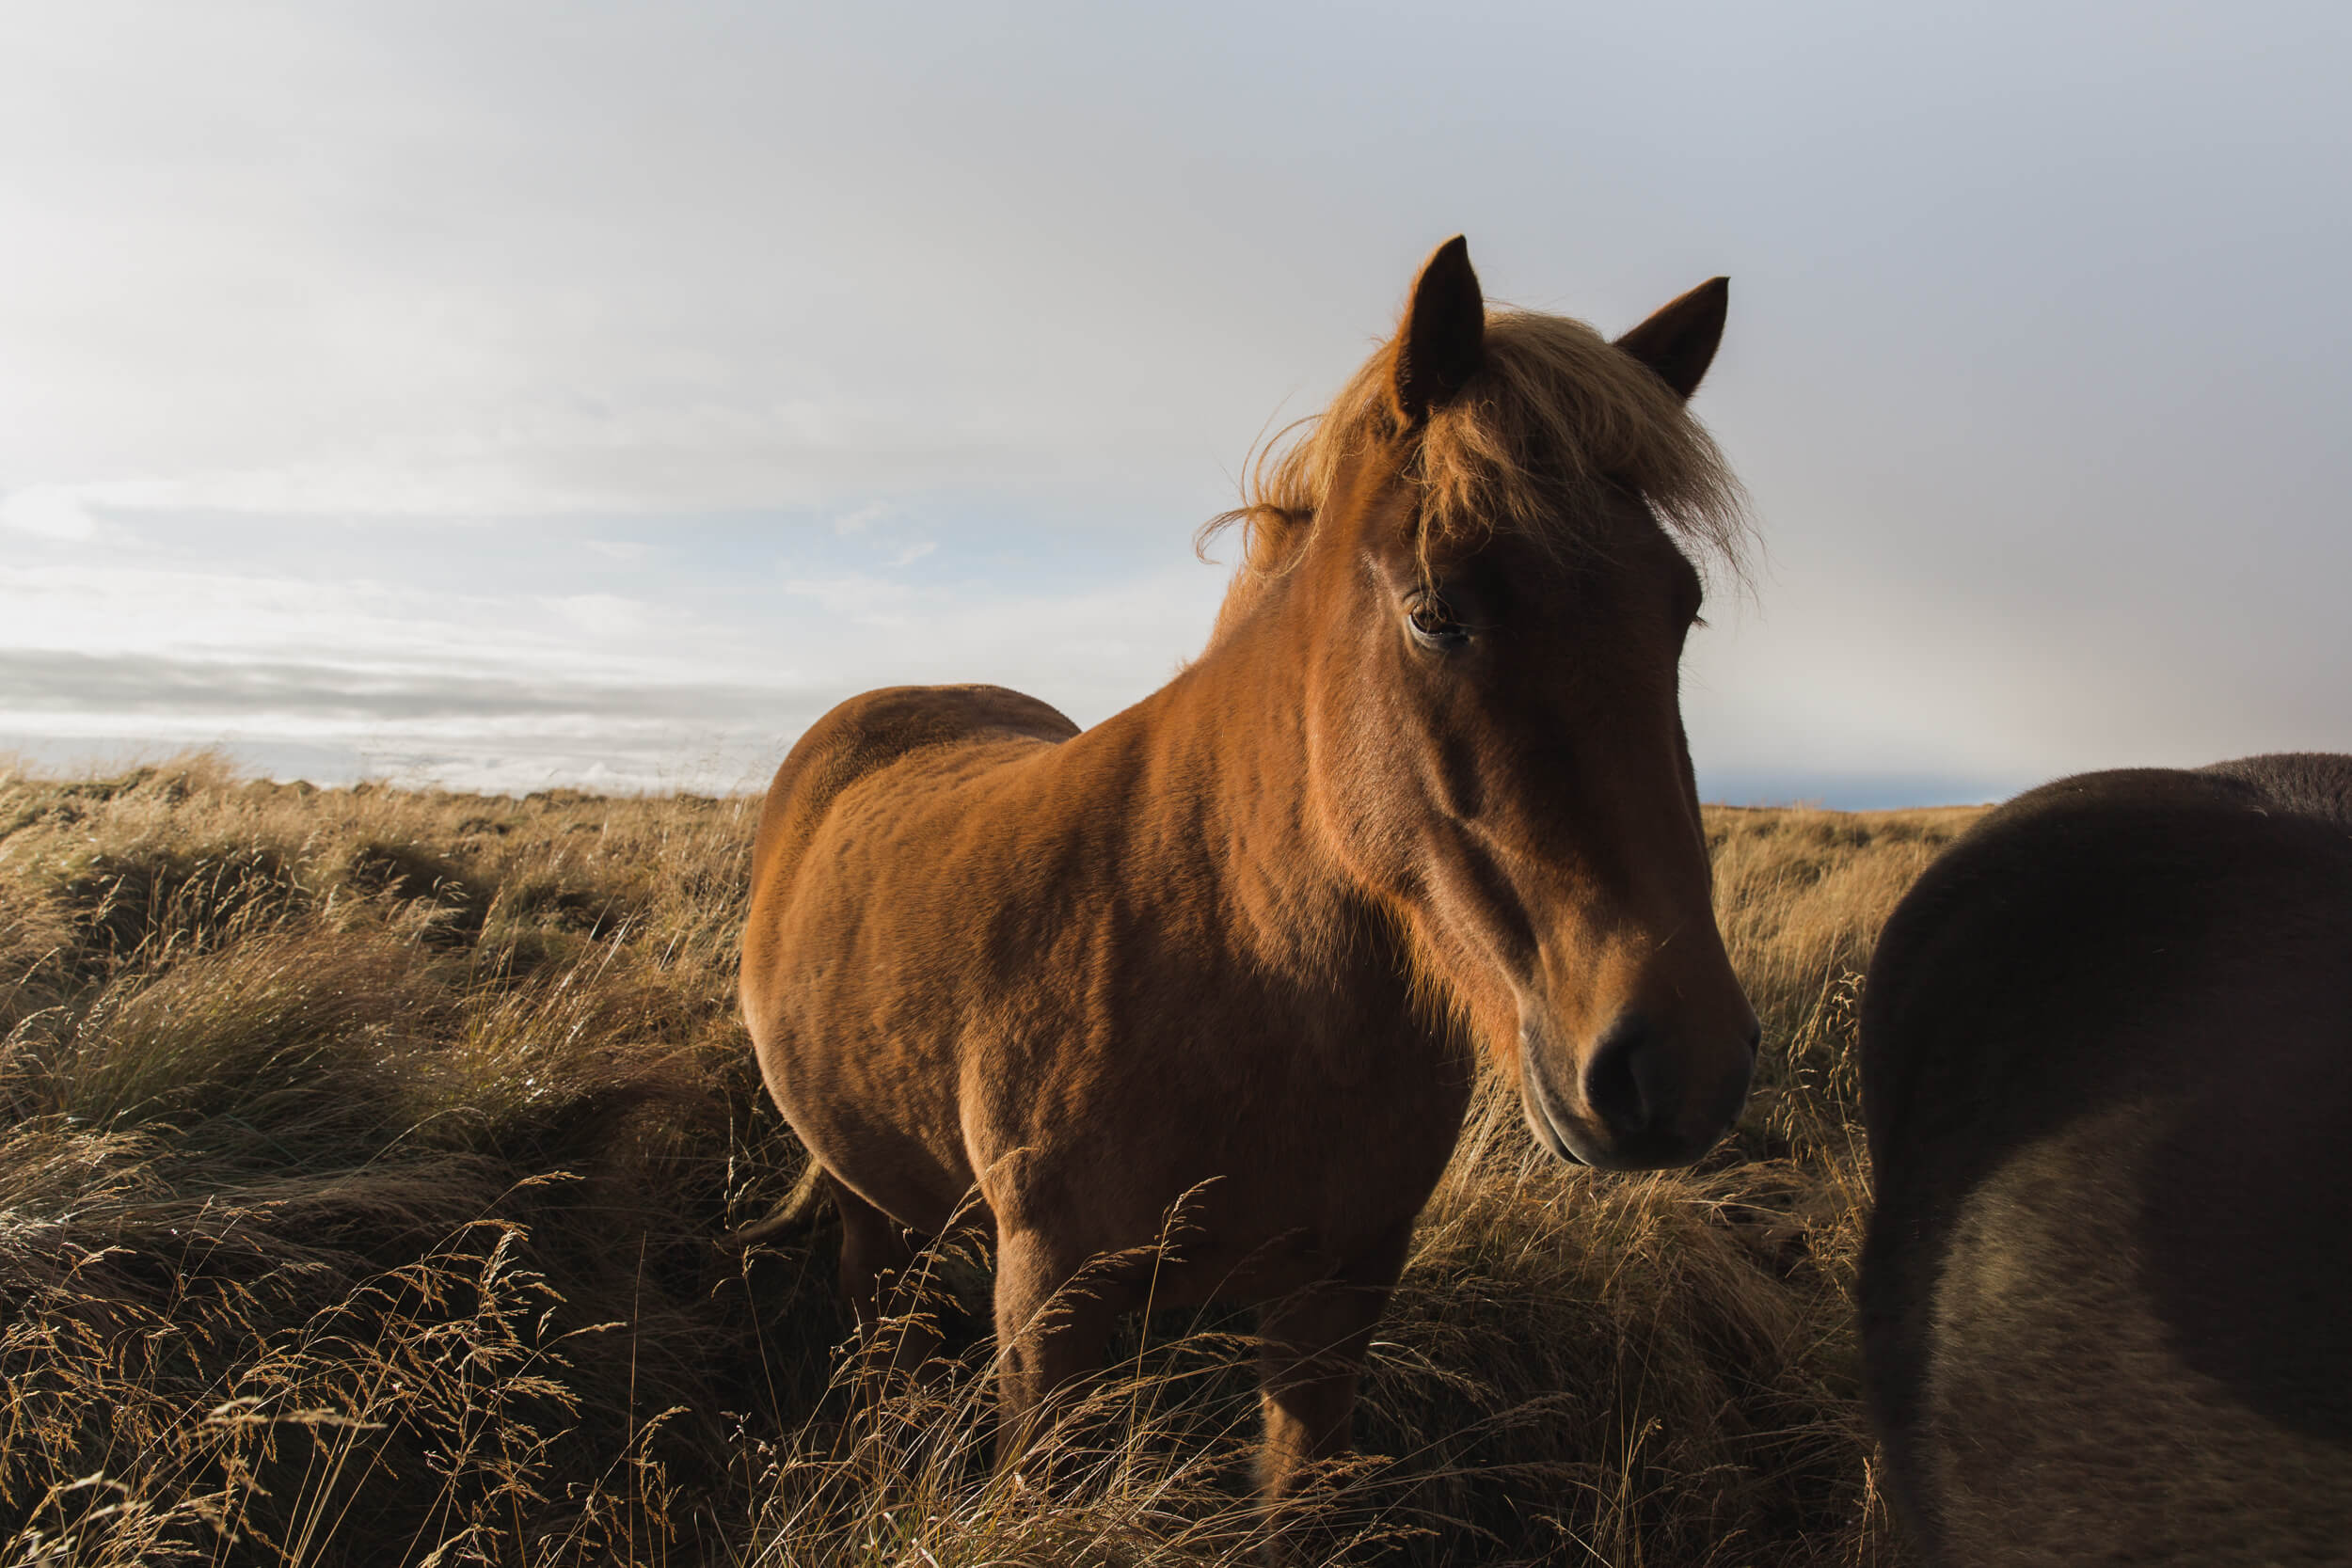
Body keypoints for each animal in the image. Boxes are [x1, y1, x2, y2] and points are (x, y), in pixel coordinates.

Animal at [743, 239, 1759, 1504]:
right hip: (869, 1204)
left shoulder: (1339, 1289)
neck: (1237, 962)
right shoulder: (1052, 1306)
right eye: (1436, 613)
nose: (1679, 1066)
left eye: (1682, 610)